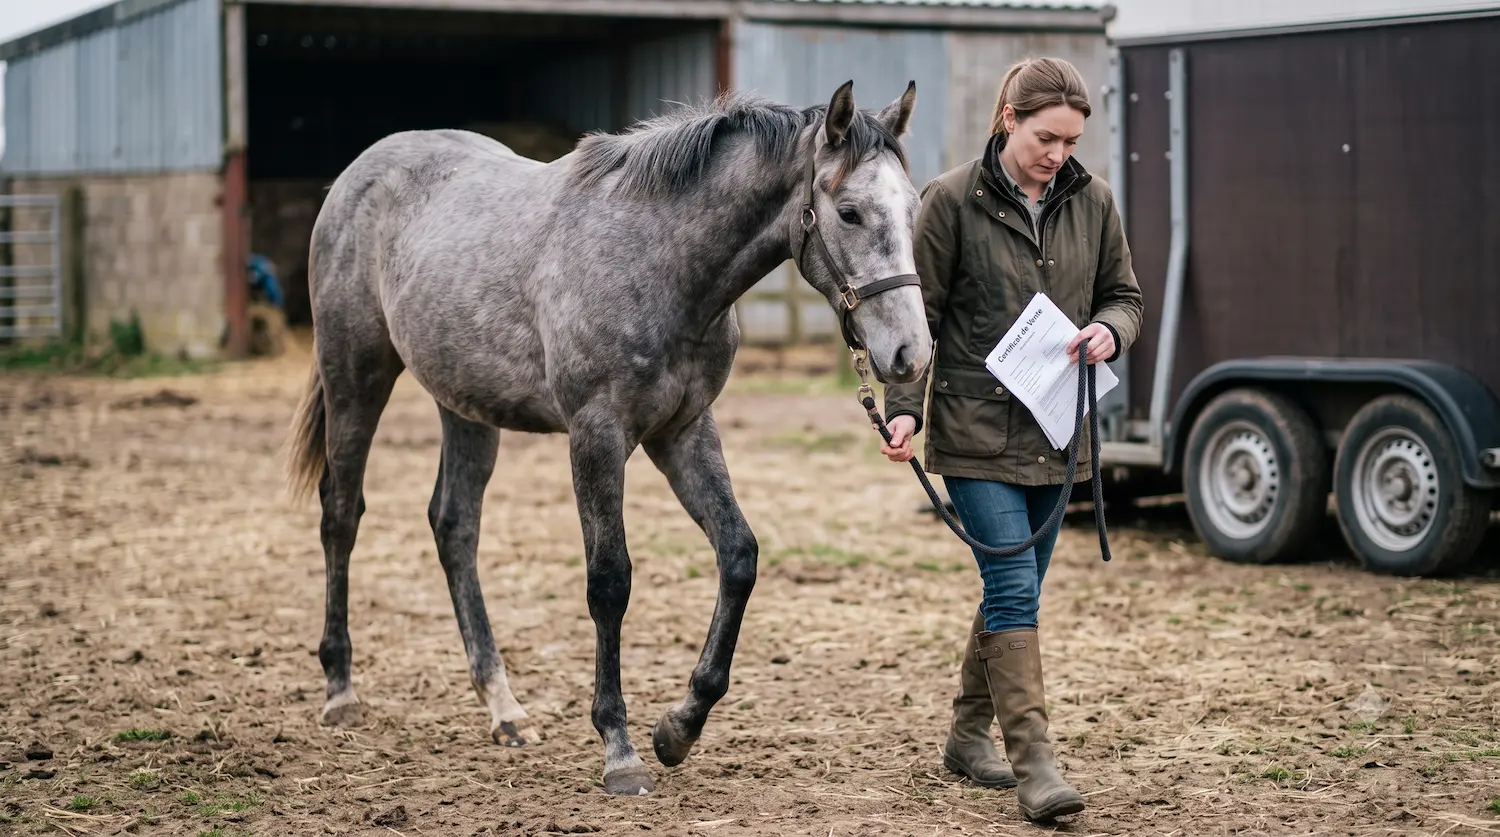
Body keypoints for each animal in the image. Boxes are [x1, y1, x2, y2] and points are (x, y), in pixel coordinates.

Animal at [282, 79, 933, 796]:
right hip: (355, 376)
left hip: (466, 406)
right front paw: (619, 749)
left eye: (912, 206)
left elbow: (738, 555)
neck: (658, 260)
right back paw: (340, 690)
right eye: (848, 212)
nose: (910, 354)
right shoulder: (597, 435)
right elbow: (609, 582)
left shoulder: (683, 432)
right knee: (341, 513)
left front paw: (678, 727)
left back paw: (503, 709)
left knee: (454, 527)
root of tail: (357, 174)